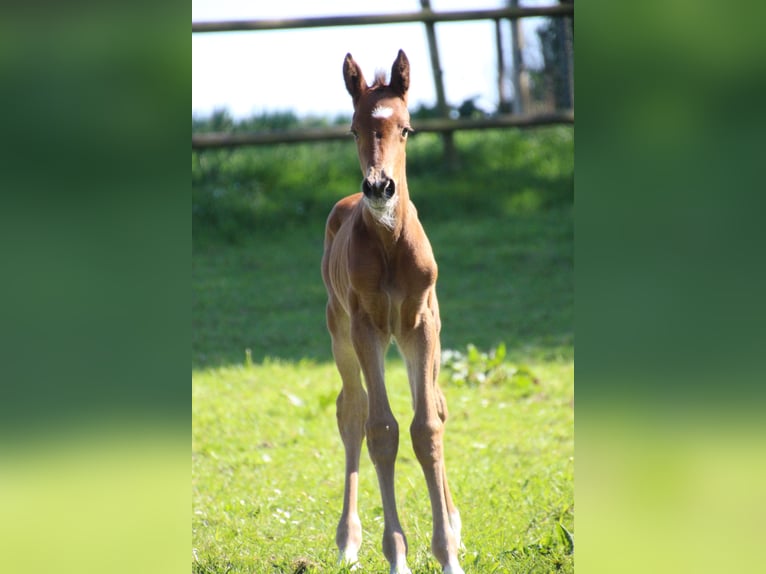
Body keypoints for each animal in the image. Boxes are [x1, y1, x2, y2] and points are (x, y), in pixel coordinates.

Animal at [320, 50, 464, 574]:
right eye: (353, 130)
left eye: (406, 128)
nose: (379, 187)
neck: (388, 244)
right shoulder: (367, 329)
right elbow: (381, 429)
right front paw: (397, 555)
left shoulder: (420, 326)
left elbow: (427, 428)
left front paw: (448, 553)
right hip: (341, 333)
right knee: (352, 410)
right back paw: (348, 540)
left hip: (425, 335)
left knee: (436, 405)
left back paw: (455, 522)